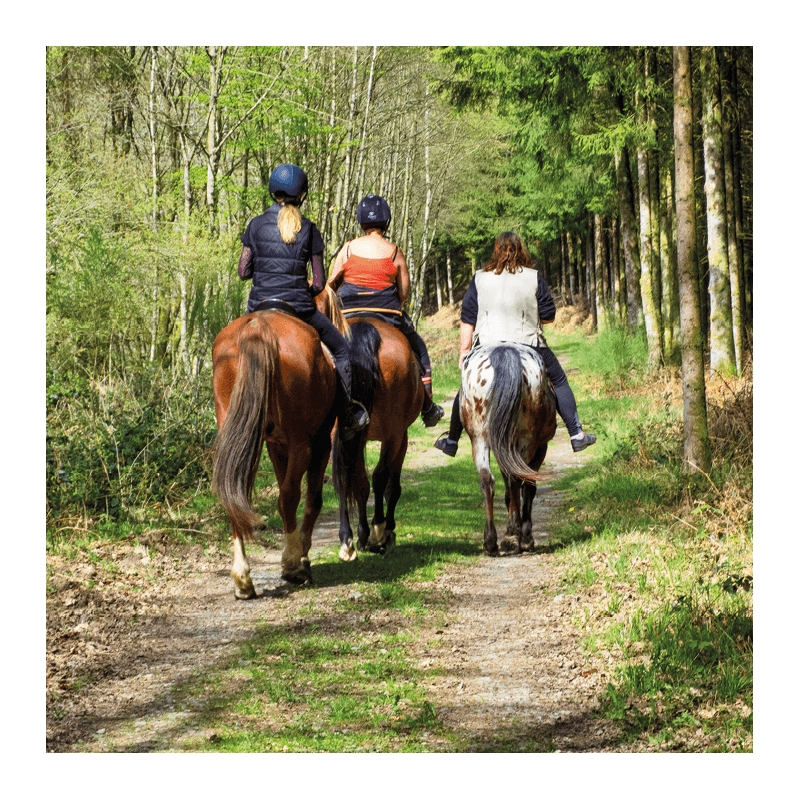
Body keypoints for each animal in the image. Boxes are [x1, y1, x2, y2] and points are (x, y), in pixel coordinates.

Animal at [211, 287, 346, 598]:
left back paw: (242, 578)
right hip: (302, 443)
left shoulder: (275, 445)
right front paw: (301, 555)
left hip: (239, 436)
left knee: (234, 493)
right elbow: (311, 499)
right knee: (289, 496)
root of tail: (257, 327)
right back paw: (293, 564)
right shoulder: (319, 442)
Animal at [331, 312, 424, 560]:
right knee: (381, 476)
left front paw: (363, 535)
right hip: (394, 433)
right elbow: (392, 485)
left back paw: (349, 539)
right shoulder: (401, 436)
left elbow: (359, 483)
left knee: (346, 479)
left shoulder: (357, 436)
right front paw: (385, 530)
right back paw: (379, 530)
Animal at [460, 342, 557, 557]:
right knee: (517, 480)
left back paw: (491, 542)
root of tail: (504, 351)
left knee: (487, 479)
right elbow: (528, 487)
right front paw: (525, 537)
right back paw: (515, 538)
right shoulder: (540, 447)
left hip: (479, 438)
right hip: (526, 441)